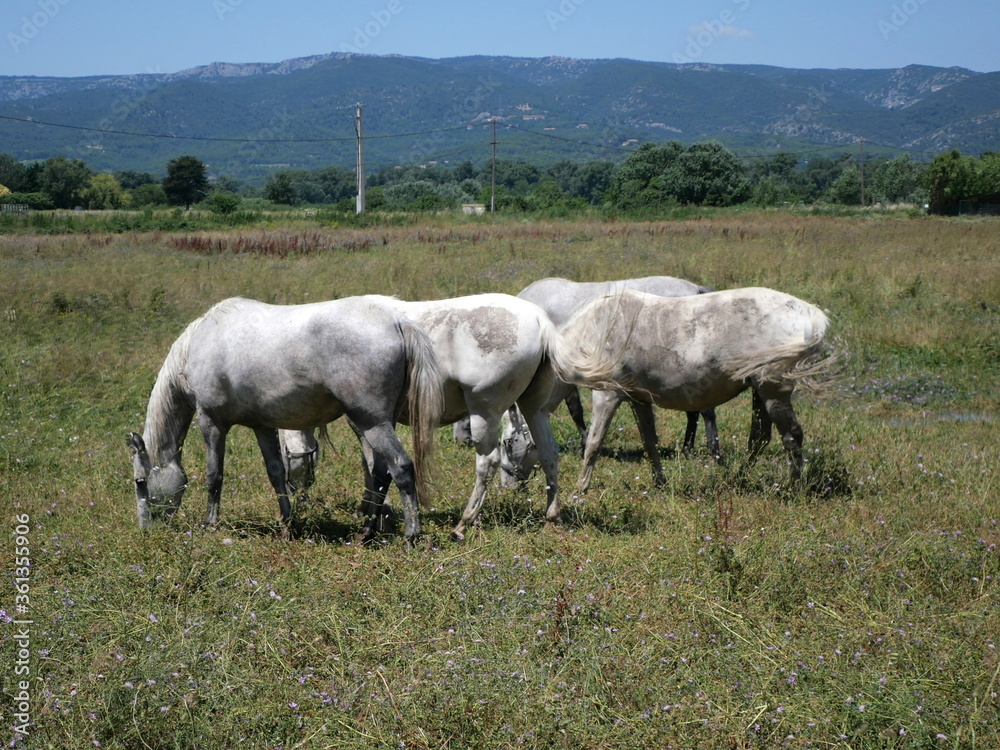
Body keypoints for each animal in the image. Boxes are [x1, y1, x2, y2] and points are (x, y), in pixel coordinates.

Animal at [129, 296, 446, 544]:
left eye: (140, 482)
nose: (146, 529)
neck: (200, 341)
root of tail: (397, 322)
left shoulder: (212, 422)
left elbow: (214, 475)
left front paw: (210, 523)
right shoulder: (263, 427)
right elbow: (276, 474)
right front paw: (286, 523)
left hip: (372, 423)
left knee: (401, 468)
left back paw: (411, 534)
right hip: (376, 425)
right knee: (380, 474)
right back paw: (366, 531)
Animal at [508, 288, 836, 494]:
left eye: (507, 444)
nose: (512, 485)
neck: (594, 331)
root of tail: (810, 314)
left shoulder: (607, 395)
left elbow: (594, 443)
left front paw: (580, 489)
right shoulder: (638, 399)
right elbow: (649, 441)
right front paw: (660, 483)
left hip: (773, 390)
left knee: (791, 436)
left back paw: (794, 488)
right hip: (761, 392)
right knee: (760, 439)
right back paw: (738, 479)